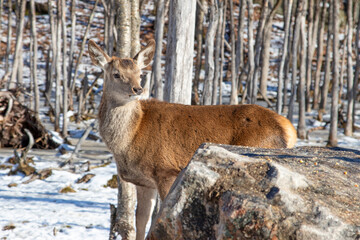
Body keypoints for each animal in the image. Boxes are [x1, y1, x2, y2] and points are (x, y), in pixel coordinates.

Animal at [87, 39, 296, 240]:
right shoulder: (143, 181)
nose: (137, 89)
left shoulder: (166, 170)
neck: (131, 138)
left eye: (139, 73)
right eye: (116, 74)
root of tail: (289, 129)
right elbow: (141, 220)